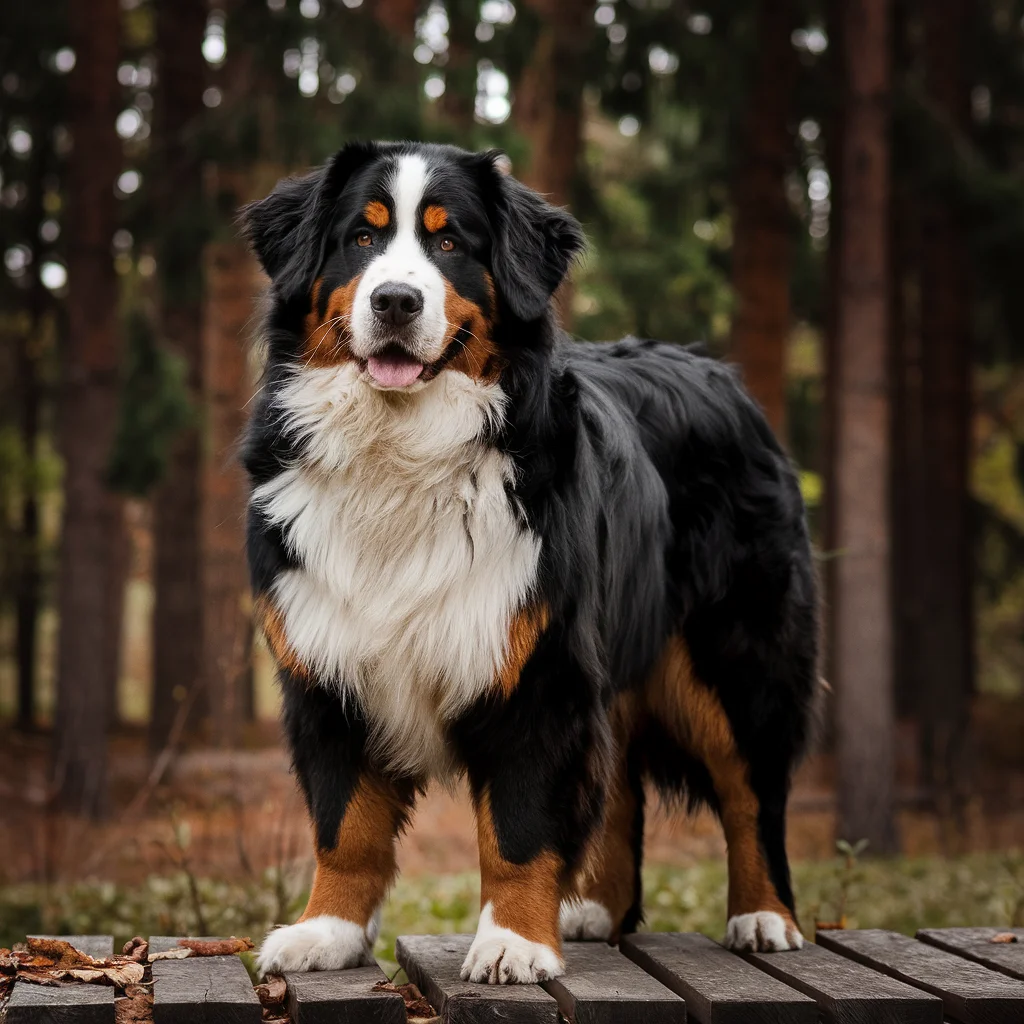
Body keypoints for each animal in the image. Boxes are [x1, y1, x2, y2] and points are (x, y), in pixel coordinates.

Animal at [239, 140, 815, 978]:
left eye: (451, 242)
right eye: (361, 237)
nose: (395, 302)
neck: (400, 454)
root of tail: (724, 378)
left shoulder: (539, 665)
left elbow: (518, 823)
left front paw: (512, 941)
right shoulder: (327, 661)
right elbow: (344, 824)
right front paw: (328, 931)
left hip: (738, 656)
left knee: (751, 794)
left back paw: (765, 917)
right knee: (619, 787)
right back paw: (592, 912)